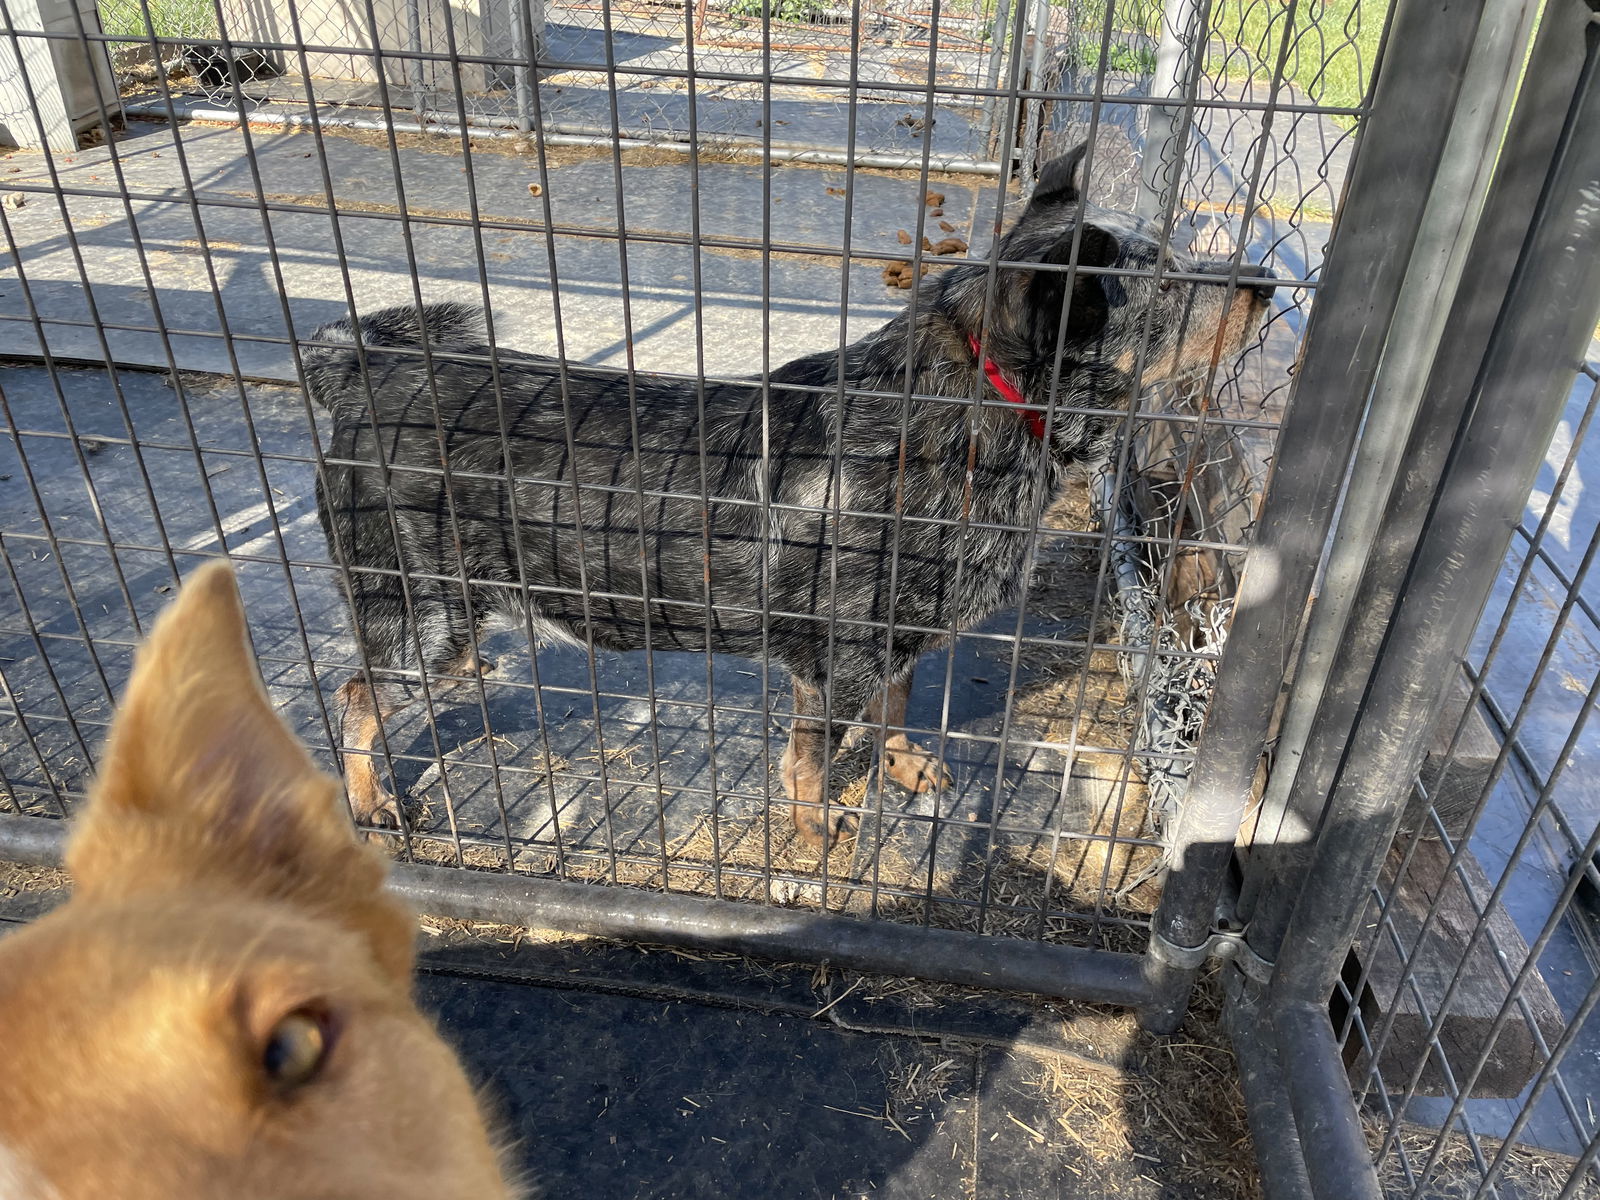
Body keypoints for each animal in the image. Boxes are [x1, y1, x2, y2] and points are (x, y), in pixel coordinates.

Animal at [300, 143, 1273, 857]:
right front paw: (814, 829)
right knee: (353, 695)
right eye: (1173, 283)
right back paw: (371, 802)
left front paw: (902, 765)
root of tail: (363, 368)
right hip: (417, 617)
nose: (1265, 282)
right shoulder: (834, 660)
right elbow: (809, 762)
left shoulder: (890, 647)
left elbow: (894, 709)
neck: (978, 410)